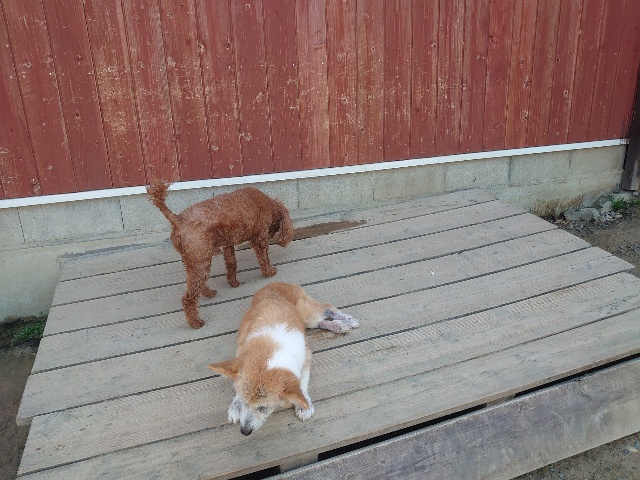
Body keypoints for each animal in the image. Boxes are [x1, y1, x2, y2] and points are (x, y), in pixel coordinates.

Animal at [146, 181, 293, 329]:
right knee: (188, 298)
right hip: (201, 260)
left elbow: (231, 263)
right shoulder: (259, 239)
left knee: (196, 284)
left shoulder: (228, 244)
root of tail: (178, 219)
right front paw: (269, 272)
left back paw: (209, 293)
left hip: (192, 260)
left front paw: (233, 282)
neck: (268, 203)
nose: (271, 234)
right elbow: (264, 259)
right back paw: (195, 322)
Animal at [207, 282, 359, 436]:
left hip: (307, 313)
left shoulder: (307, 356)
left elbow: (301, 383)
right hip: (308, 320)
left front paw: (304, 404)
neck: (272, 348)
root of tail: (276, 283)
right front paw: (236, 405)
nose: (244, 431)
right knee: (321, 321)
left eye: (263, 408)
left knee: (326, 308)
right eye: (245, 402)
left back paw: (348, 320)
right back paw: (339, 325)